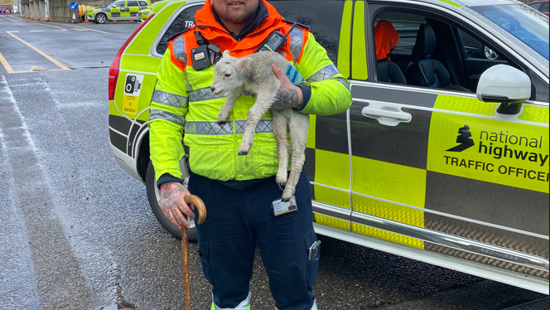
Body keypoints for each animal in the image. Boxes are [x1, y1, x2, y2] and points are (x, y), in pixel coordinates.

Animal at [211, 50, 310, 201]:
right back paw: (281, 176)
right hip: (278, 117)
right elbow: (233, 93)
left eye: (227, 74)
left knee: (298, 157)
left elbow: (252, 113)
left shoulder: (269, 86)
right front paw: (223, 113)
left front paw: (245, 145)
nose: (212, 88)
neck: (251, 72)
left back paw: (288, 191)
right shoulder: (245, 85)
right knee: (283, 145)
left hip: (299, 120)